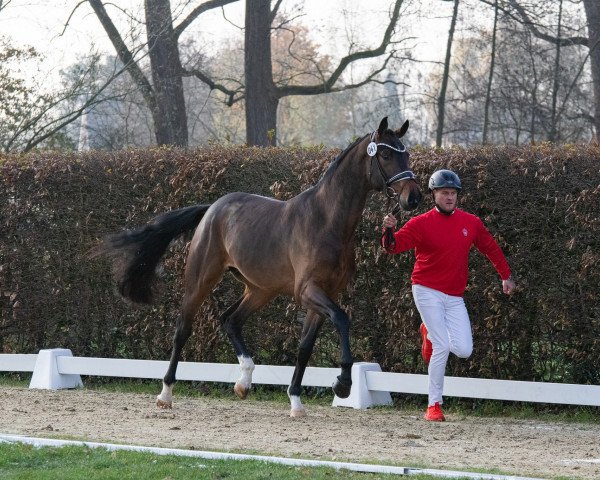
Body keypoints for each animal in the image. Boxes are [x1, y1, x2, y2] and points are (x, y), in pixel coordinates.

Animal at [95, 116, 422, 416]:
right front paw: (342, 383)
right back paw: (166, 394)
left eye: (406, 154)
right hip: (201, 280)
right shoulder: (308, 291)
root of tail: (213, 208)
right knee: (182, 330)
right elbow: (342, 320)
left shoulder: (325, 295)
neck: (328, 222)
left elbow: (305, 348)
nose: (414, 197)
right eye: (386, 155)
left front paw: (296, 401)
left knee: (231, 320)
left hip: (260, 289)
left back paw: (244, 382)